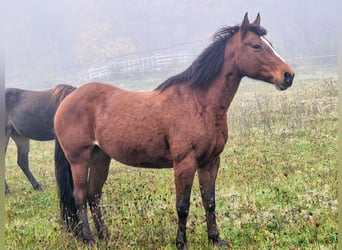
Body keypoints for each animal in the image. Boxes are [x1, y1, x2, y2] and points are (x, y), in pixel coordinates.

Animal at [54, 14, 294, 250]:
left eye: (269, 44)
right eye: (255, 46)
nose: (288, 75)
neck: (198, 103)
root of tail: (70, 96)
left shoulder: (210, 161)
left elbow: (209, 201)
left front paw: (215, 239)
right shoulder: (184, 163)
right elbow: (182, 206)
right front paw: (181, 243)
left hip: (100, 157)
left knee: (94, 196)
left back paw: (106, 236)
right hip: (79, 159)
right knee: (80, 197)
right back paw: (89, 239)